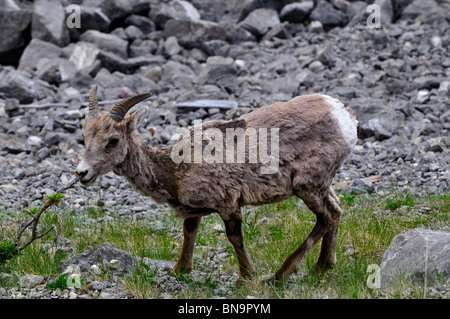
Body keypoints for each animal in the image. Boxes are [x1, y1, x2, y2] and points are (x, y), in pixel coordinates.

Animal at [78, 87, 358, 282]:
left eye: (112, 141)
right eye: (84, 137)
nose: (82, 173)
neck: (174, 169)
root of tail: (345, 118)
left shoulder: (228, 203)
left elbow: (234, 238)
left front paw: (247, 276)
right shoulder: (195, 211)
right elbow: (189, 232)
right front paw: (179, 269)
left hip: (307, 185)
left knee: (326, 216)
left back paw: (280, 275)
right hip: (323, 185)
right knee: (337, 209)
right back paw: (322, 267)